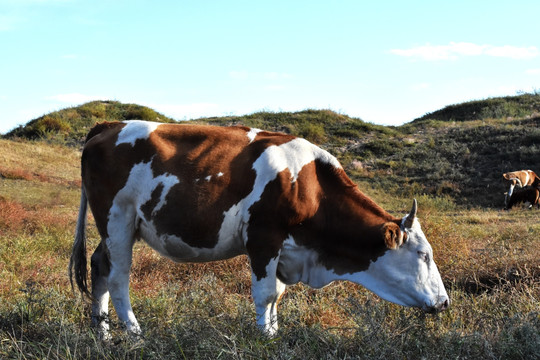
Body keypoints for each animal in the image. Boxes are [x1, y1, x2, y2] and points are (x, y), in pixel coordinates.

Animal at [69, 121, 450, 340]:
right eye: (424, 255)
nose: (445, 302)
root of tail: (109, 124)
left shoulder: (286, 250)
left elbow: (277, 294)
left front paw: (274, 331)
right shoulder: (264, 237)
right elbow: (265, 294)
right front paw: (265, 338)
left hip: (118, 227)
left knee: (99, 266)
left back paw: (102, 332)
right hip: (117, 219)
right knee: (118, 277)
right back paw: (134, 333)